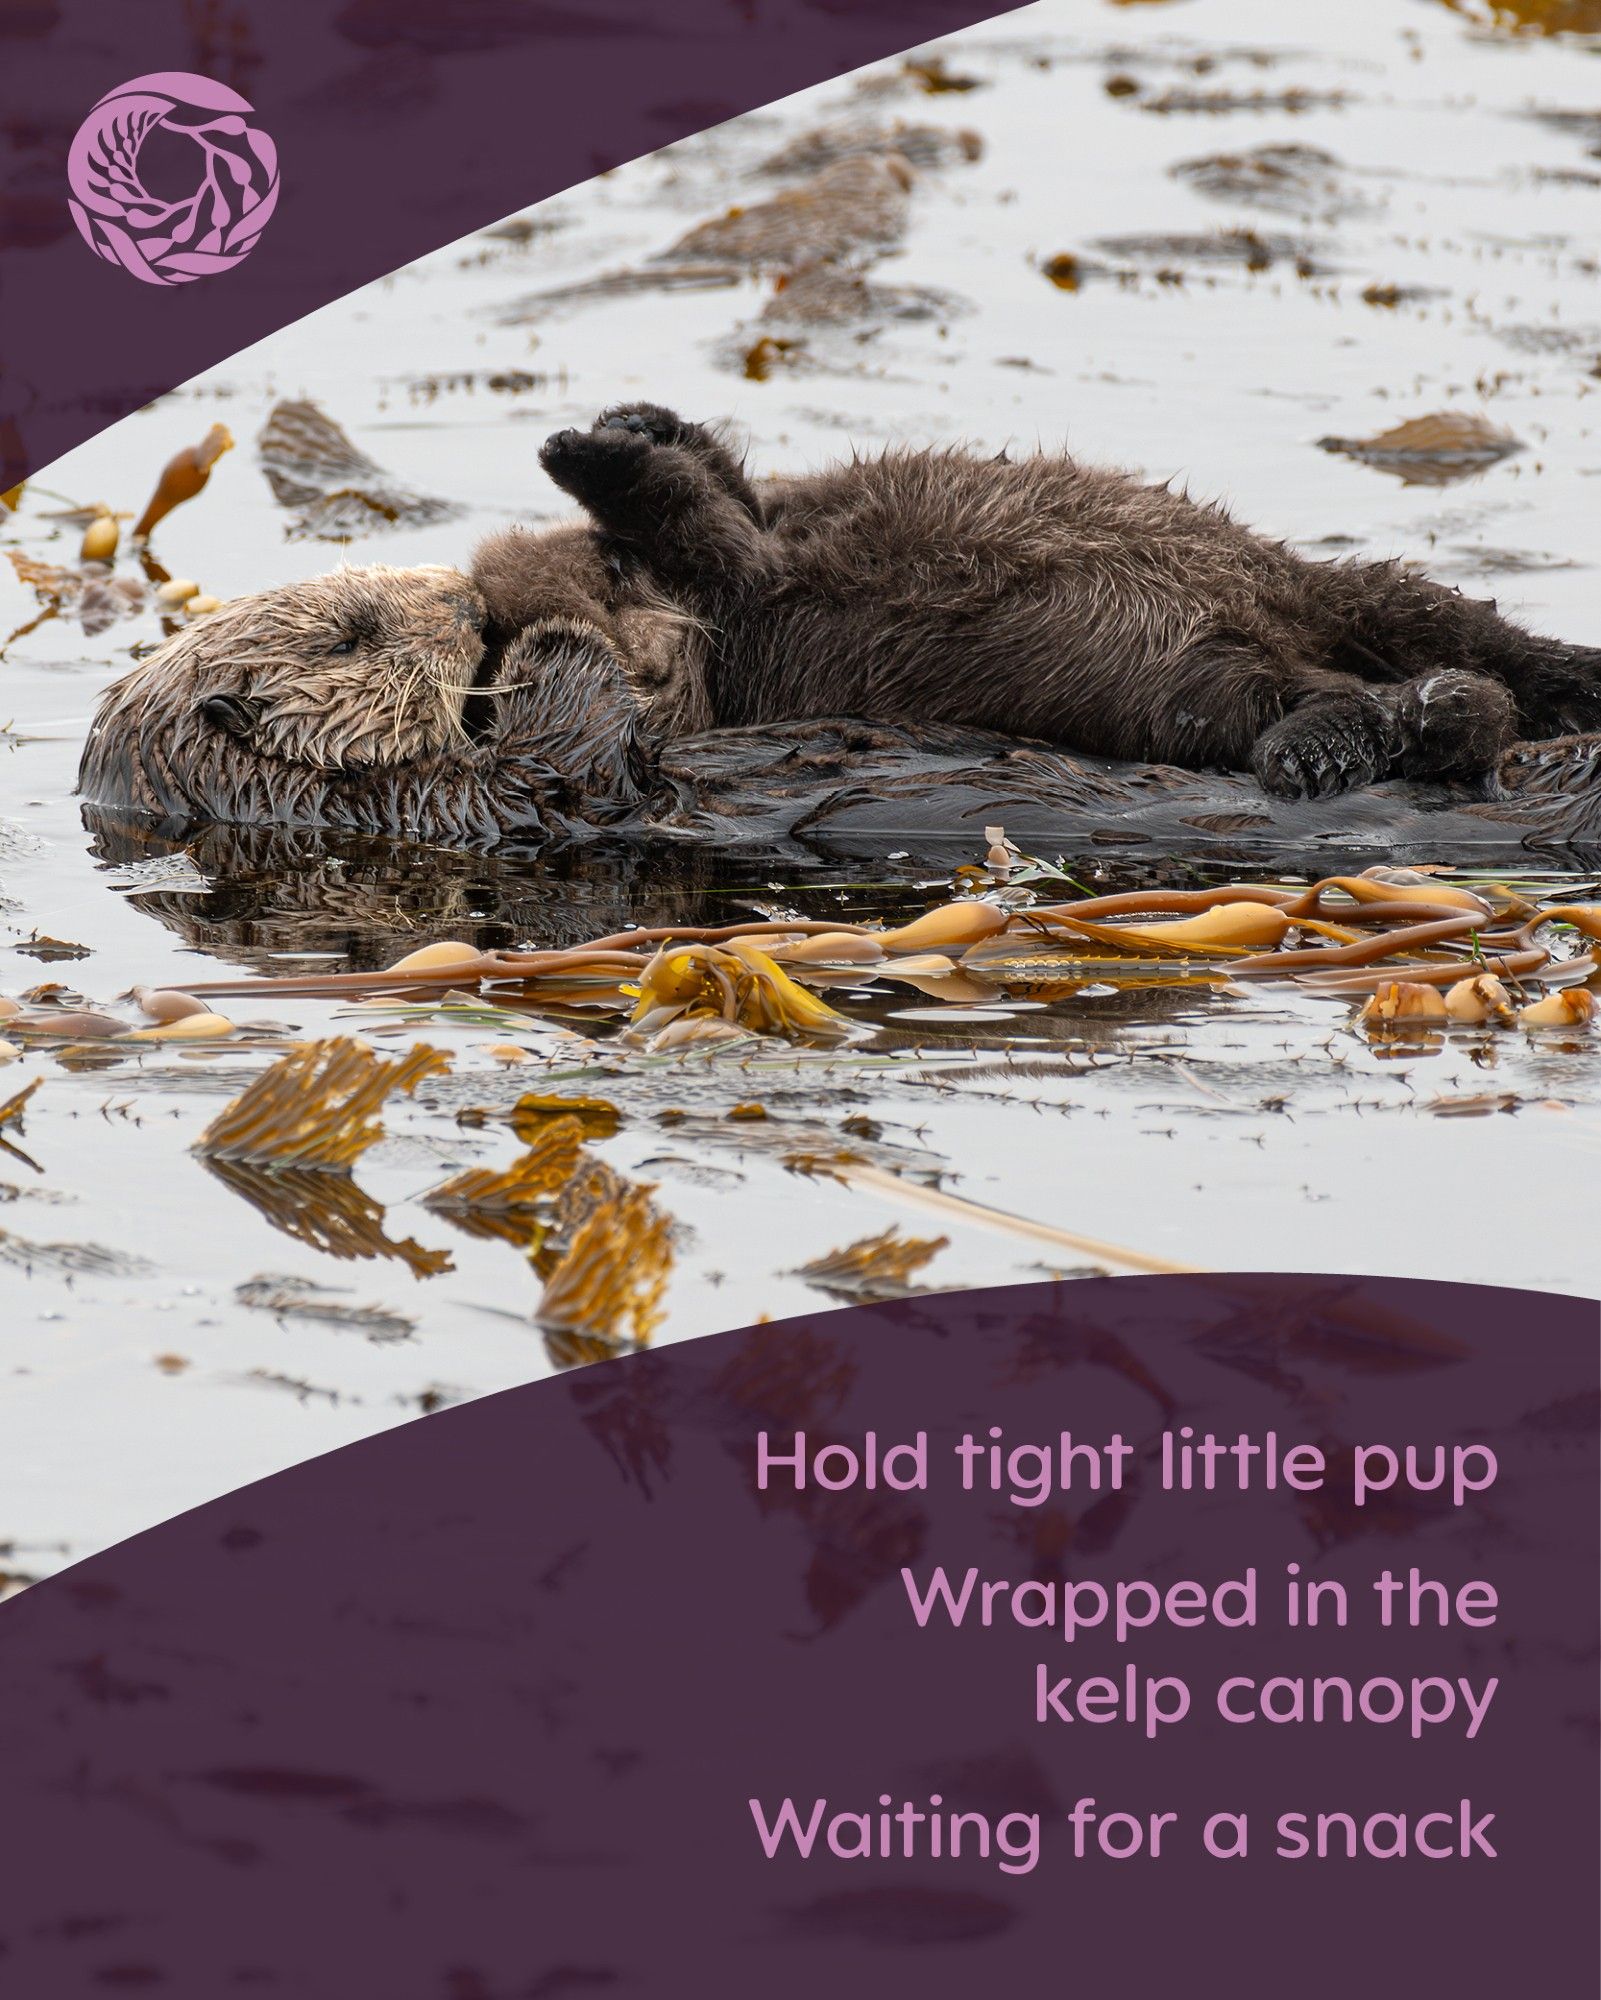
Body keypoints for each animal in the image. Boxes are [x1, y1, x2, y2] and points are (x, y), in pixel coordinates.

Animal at [78, 406, 1601, 844]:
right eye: (344, 636)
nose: (458, 607)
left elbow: (712, 529)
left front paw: (621, 443)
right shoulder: (510, 802)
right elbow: (590, 733)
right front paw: (538, 652)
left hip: (1322, 583)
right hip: (1192, 684)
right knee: (1294, 696)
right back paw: (1347, 739)